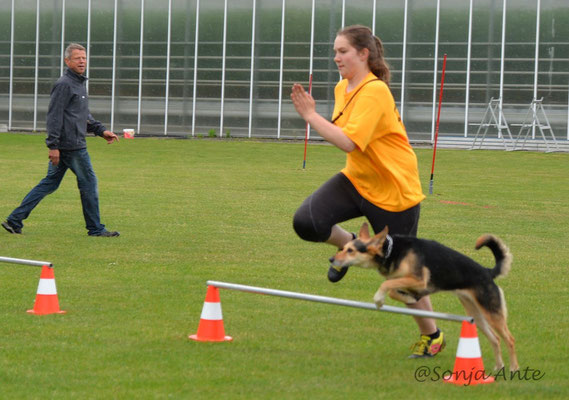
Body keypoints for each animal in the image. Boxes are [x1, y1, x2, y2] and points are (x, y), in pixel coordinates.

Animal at [328, 222, 520, 372]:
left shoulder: (420, 280)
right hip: (476, 315)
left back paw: (513, 368)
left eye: (351, 250)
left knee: (509, 339)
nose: (331, 259)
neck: (390, 251)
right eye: (344, 248)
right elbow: (393, 290)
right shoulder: (410, 283)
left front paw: (379, 299)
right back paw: (498, 367)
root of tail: (487, 272)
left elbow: (385, 286)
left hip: (491, 312)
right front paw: (408, 299)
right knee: (495, 339)